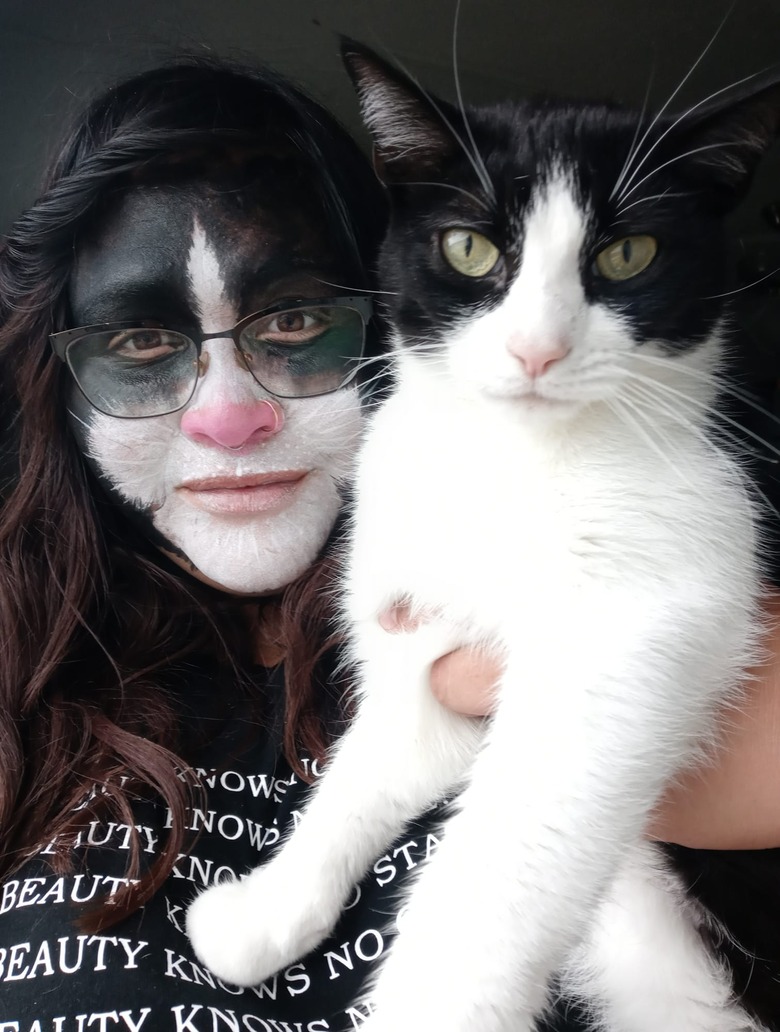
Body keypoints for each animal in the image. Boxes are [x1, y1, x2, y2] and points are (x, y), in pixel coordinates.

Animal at [187, 42, 780, 1032]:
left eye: (628, 253)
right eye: (470, 247)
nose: (537, 350)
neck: (506, 462)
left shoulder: (636, 625)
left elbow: (499, 867)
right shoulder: (424, 635)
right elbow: (372, 766)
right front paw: (269, 908)